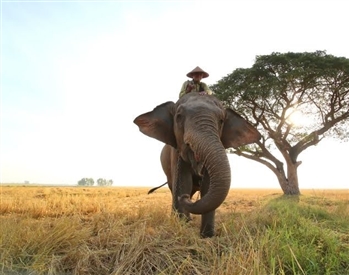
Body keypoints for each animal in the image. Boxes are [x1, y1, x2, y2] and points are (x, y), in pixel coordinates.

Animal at [135, 93, 260, 239]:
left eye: (221, 120)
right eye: (178, 117)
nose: (184, 198)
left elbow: (207, 185)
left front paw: (207, 236)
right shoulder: (176, 152)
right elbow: (184, 182)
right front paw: (182, 227)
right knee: (174, 187)